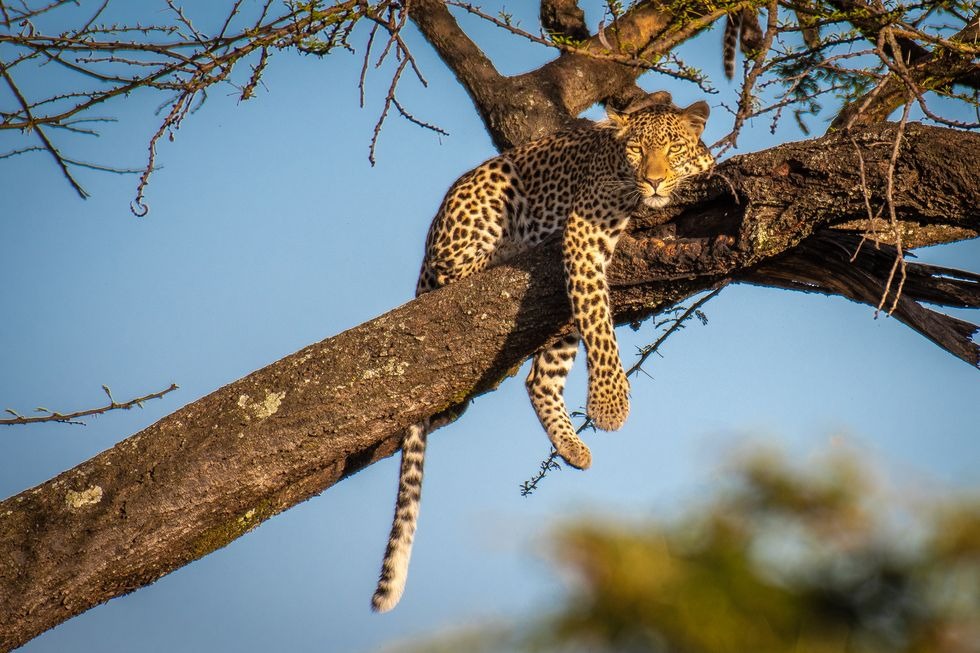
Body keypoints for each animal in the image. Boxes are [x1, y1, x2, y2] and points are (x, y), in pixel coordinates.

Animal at [372, 90, 716, 612]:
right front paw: (610, 407)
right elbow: (601, 324)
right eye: (637, 150)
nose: (654, 179)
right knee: (457, 272)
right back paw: (504, 252)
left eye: (673, 147)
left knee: (540, 379)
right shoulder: (585, 231)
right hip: (490, 193)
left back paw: (572, 448)